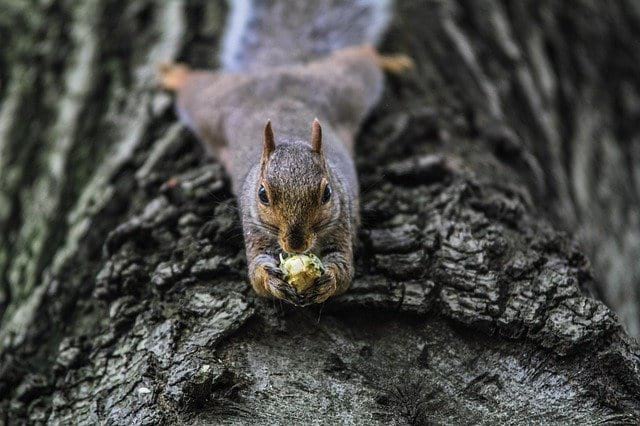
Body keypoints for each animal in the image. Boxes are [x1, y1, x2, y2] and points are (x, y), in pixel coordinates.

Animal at [158, 0, 412, 306]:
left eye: (327, 194)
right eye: (262, 195)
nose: (296, 244)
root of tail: (279, 69)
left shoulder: (342, 222)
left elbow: (344, 270)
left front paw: (328, 280)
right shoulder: (254, 228)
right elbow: (256, 273)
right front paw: (271, 279)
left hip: (346, 87)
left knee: (361, 58)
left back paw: (390, 61)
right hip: (212, 105)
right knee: (193, 88)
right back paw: (174, 74)